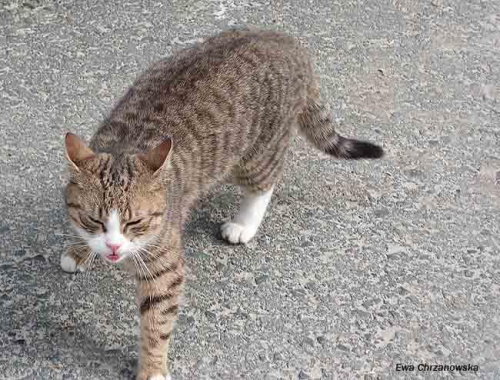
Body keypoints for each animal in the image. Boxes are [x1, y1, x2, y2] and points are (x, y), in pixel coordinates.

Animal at [61, 28, 382, 378]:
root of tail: (283, 39)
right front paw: (79, 251)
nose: (114, 248)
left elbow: (156, 322)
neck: (126, 145)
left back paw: (244, 223)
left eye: (136, 223)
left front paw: (153, 367)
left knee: (265, 181)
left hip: (256, 154)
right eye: (94, 220)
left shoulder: (165, 267)